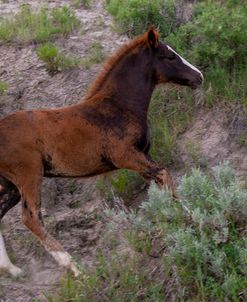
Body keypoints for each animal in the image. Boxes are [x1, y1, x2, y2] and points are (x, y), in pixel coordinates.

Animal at [0, 28, 203, 276]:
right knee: (31, 219)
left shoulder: (142, 157)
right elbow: (165, 174)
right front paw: (191, 215)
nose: (199, 76)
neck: (118, 106)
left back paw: (12, 269)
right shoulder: (126, 156)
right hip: (28, 176)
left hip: (9, 186)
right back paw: (76, 269)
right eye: (170, 56)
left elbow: (158, 184)